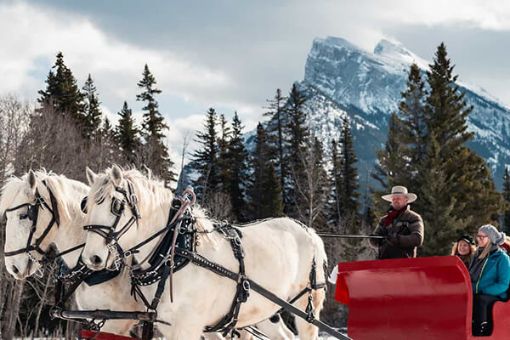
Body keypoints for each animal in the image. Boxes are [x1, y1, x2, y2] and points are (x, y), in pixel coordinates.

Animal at [79, 166, 326, 338]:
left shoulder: (187, 327)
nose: (92, 258)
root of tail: (309, 231)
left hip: (307, 308)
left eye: (116, 205)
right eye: (86, 206)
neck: (175, 251)